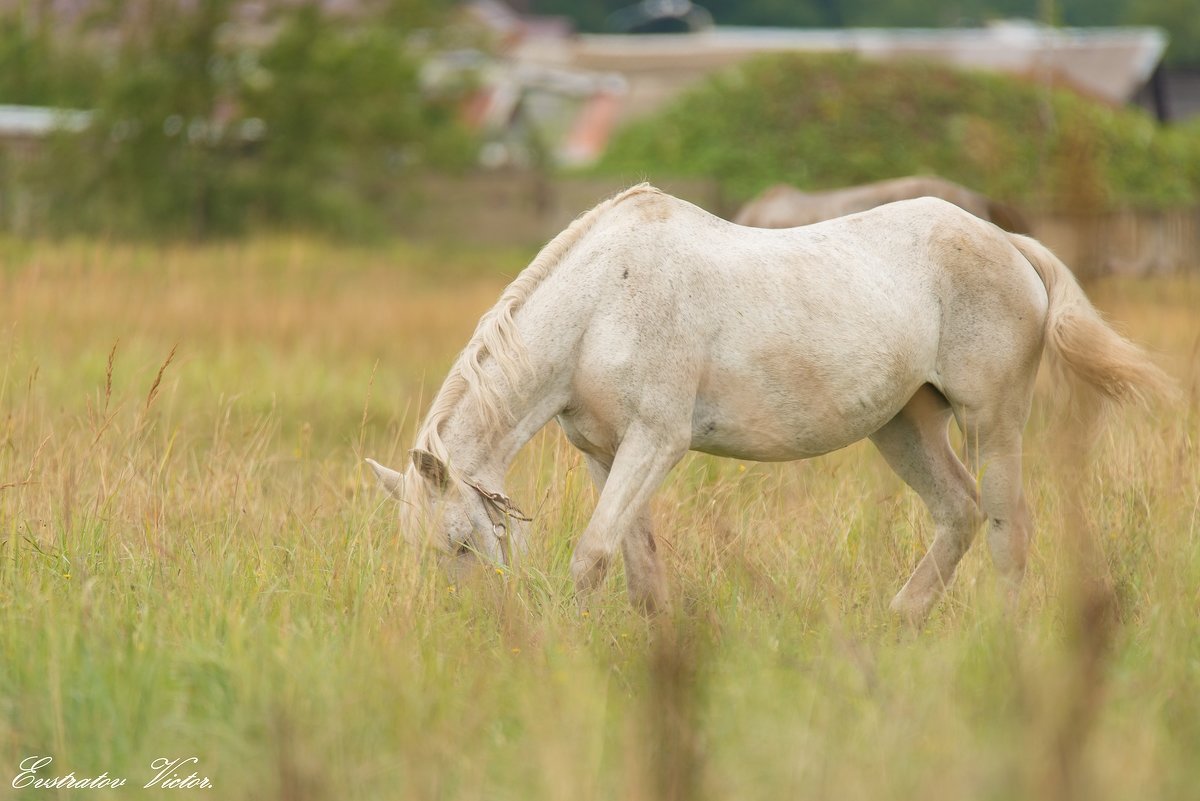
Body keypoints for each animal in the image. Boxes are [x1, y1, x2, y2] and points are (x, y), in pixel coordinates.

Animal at [367, 184, 1171, 623]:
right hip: (904, 428)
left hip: (992, 423)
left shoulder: (655, 442)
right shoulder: (606, 453)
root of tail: (1008, 241)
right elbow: (639, 569)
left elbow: (592, 555)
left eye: (461, 541)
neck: (601, 304)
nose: (489, 625)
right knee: (960, 513)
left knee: (1008, 528)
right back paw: (901, 622)